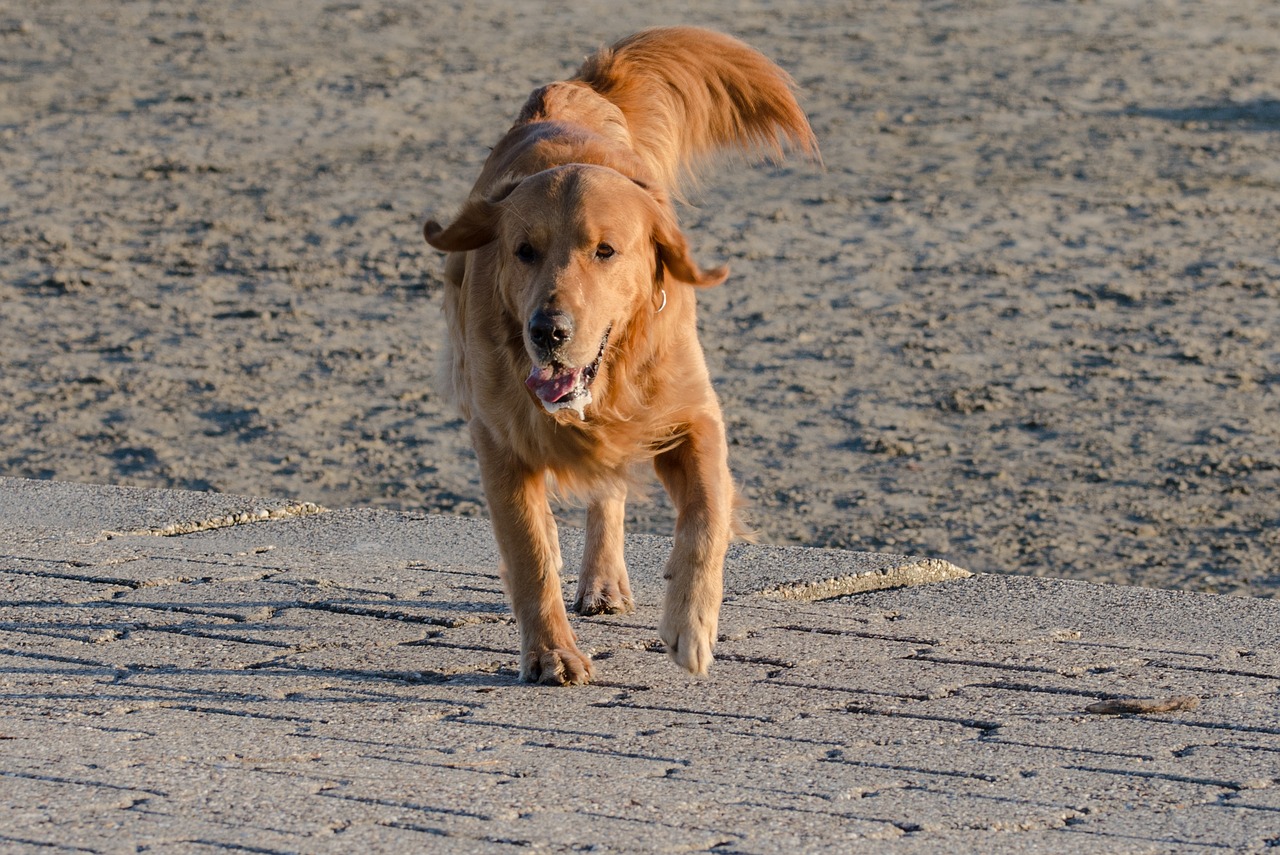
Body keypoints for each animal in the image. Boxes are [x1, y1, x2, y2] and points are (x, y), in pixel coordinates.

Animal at [424, 26, 814, 686]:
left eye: (604, 250)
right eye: (524, 250)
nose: (547, 331)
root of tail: (573, 87)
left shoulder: (691, 417)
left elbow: (707, 519)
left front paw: (691, 626)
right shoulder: (499, 438)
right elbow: (527, 552)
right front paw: (552, 652)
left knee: (608, 495)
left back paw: (604, 581)